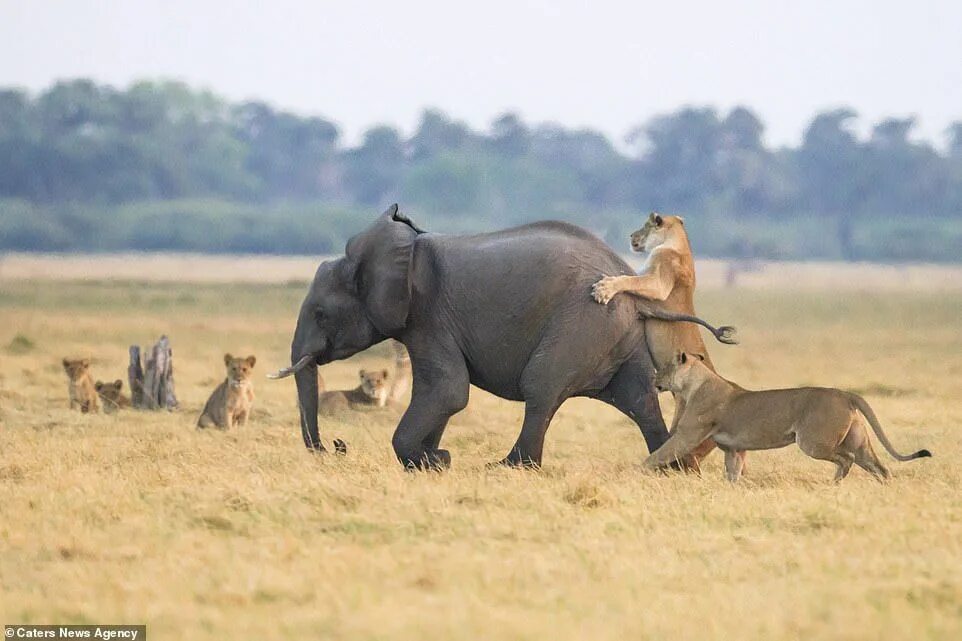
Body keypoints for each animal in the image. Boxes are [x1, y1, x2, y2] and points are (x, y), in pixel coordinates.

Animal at [270, 205, 736, 470]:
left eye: (321, 313)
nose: (337, 445)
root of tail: (630, 280)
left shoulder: (429, 317)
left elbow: (448, 391)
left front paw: (436, 461)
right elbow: (441, 394)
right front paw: (432, 460)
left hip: (582, 324)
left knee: (542, 387)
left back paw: (509, 466)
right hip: (612, 334)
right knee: (638, 398)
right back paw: (672, 467)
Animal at [648, 352, 928, 482]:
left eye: (663, 368)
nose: (654, 380)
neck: (694, 384)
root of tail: (844, 393)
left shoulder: (687, 434)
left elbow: (657, 455)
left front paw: (640, 474)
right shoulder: (734, 450)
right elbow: (733, 475)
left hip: (813, 442)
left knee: (845, 459)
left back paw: (833, 485)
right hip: (859, 443)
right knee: (880, 468)